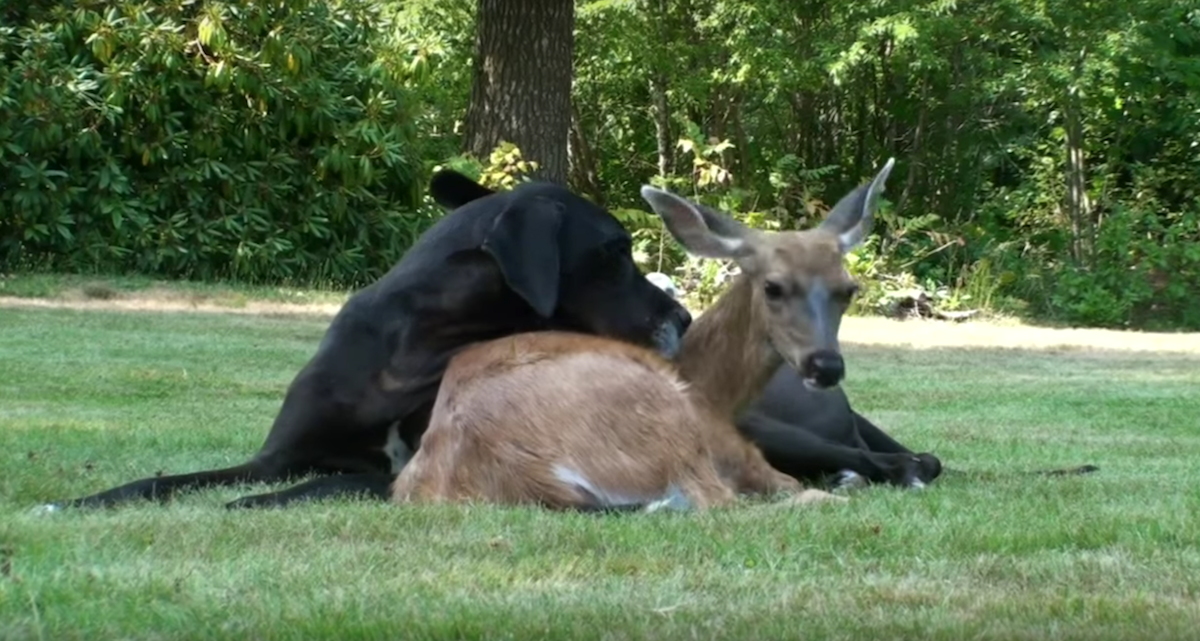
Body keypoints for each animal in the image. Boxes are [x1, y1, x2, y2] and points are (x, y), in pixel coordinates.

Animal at [37, 169, 691, 513]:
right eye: (614, 252)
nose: (683, 317)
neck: (414, 349)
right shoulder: (273, 458)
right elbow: (162, 480)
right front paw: (75, 502)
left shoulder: (399, 472)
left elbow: (322, 481)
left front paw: (242, 506)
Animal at [388, 159, 897, 513]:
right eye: (773, 286)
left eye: (848, 289)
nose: (825, 365)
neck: (712, 387)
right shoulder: (734, 448)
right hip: (674, 430)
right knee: (723, 503)